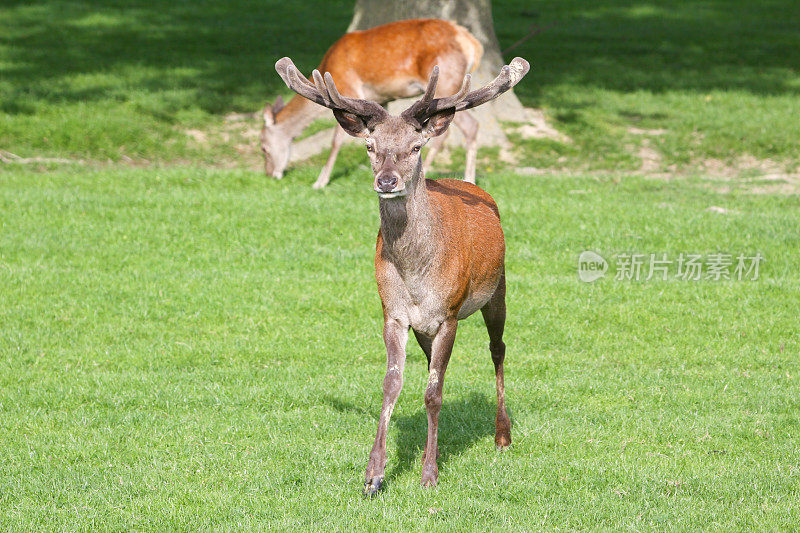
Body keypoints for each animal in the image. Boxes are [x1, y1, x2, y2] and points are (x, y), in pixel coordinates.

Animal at [266, 18, 484, 188]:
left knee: (466, 126)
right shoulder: (381, 99)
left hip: (446, 84)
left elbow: (336, 139)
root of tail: (472, 43)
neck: (330, 65)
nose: (269, 174)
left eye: (264, 148)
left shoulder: (348, 88)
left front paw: (320, 181)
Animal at [276, 54, 532, 494]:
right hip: (427, 327)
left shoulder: (448, 313)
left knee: (497, 350)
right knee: (437, 367)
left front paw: (429, 474)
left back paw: (502, 435)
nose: (387, 180)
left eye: (415, 147)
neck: (416, 274)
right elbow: (392, 384)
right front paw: (374, 475)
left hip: (497, 289)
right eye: (370, 146)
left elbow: (433, 393)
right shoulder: (393, 314)